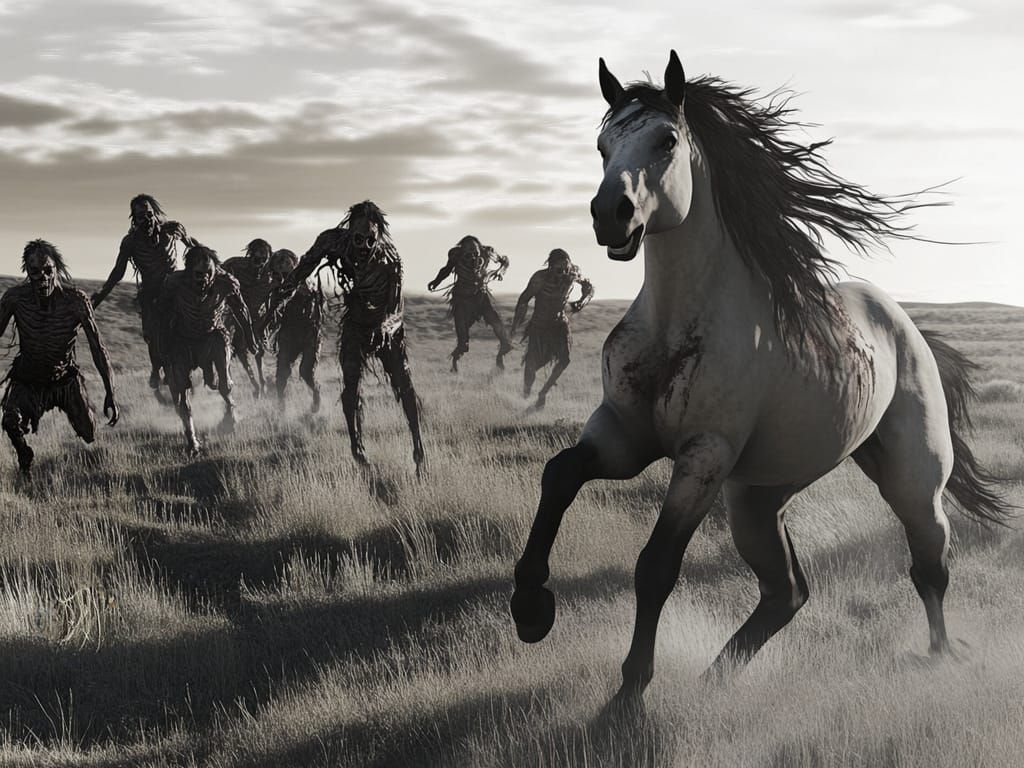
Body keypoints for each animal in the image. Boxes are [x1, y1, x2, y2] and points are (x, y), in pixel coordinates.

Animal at [510, 50, 1011, 706]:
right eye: (601, 146)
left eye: (666, 140)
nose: (608, 216)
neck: (677, 322)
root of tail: (904, 325)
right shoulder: (622, 435)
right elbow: (559, 474)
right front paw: (529, 608)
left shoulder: (703, 455)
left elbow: (656, 566)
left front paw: (628, 695)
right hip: (757, 500)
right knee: (786, 592)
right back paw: (714, 680)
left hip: (910, 482)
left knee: (929, 565)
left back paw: (941, 654)